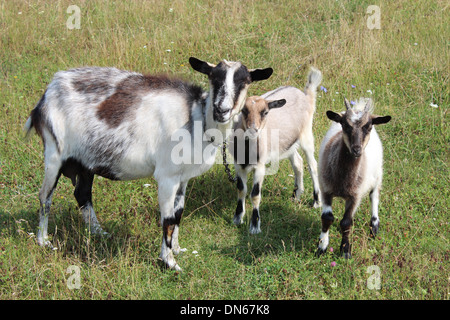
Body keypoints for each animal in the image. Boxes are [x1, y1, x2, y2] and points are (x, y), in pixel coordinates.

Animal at [24, 57, 272, 270]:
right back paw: (43, 240)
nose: (222, 110)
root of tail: (45, 96)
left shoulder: (183, 177)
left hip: (85, 160)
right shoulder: (167, 177)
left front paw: (177, 249)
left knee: (82, 194)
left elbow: (178, 213)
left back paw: (98, 233)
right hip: (54, 152)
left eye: (244, 81)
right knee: (45, 196)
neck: (195, 118)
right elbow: (168, 219)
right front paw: (169, 262)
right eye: (214, 77)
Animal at [229, 67, 324, 234]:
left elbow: (255, 195)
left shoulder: (260, 167)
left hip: (306, 135)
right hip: (288, 143)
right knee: (298, 163)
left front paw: (254, 226)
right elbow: (241, 190)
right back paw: (296, 196)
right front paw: (237, 218)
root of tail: (306, 95)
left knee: (312, 165)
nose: (253, 130)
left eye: (265, 112)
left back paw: (316, 201)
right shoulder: (238, 165)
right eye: (244, 111)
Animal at [316, 97, 390, 258]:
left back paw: (374, 227)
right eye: (344, 124)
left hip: (377, 175)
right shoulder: (325, 190)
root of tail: (359, 107)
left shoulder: (355, 196)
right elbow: (327, 218)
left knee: (374, 196)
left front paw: (345, 250)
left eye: (368, 126)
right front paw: (322, 247)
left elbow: (346, 222)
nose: (356, 150)